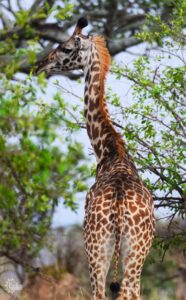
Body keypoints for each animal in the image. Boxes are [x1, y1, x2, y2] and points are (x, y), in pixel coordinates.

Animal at [35, 17, 155, 300]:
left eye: (66, 48)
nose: (40, 64)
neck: (110, 151)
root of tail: (120, 209)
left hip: (95, 249)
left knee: (101, 293)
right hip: (133, 253)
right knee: (127, 291)